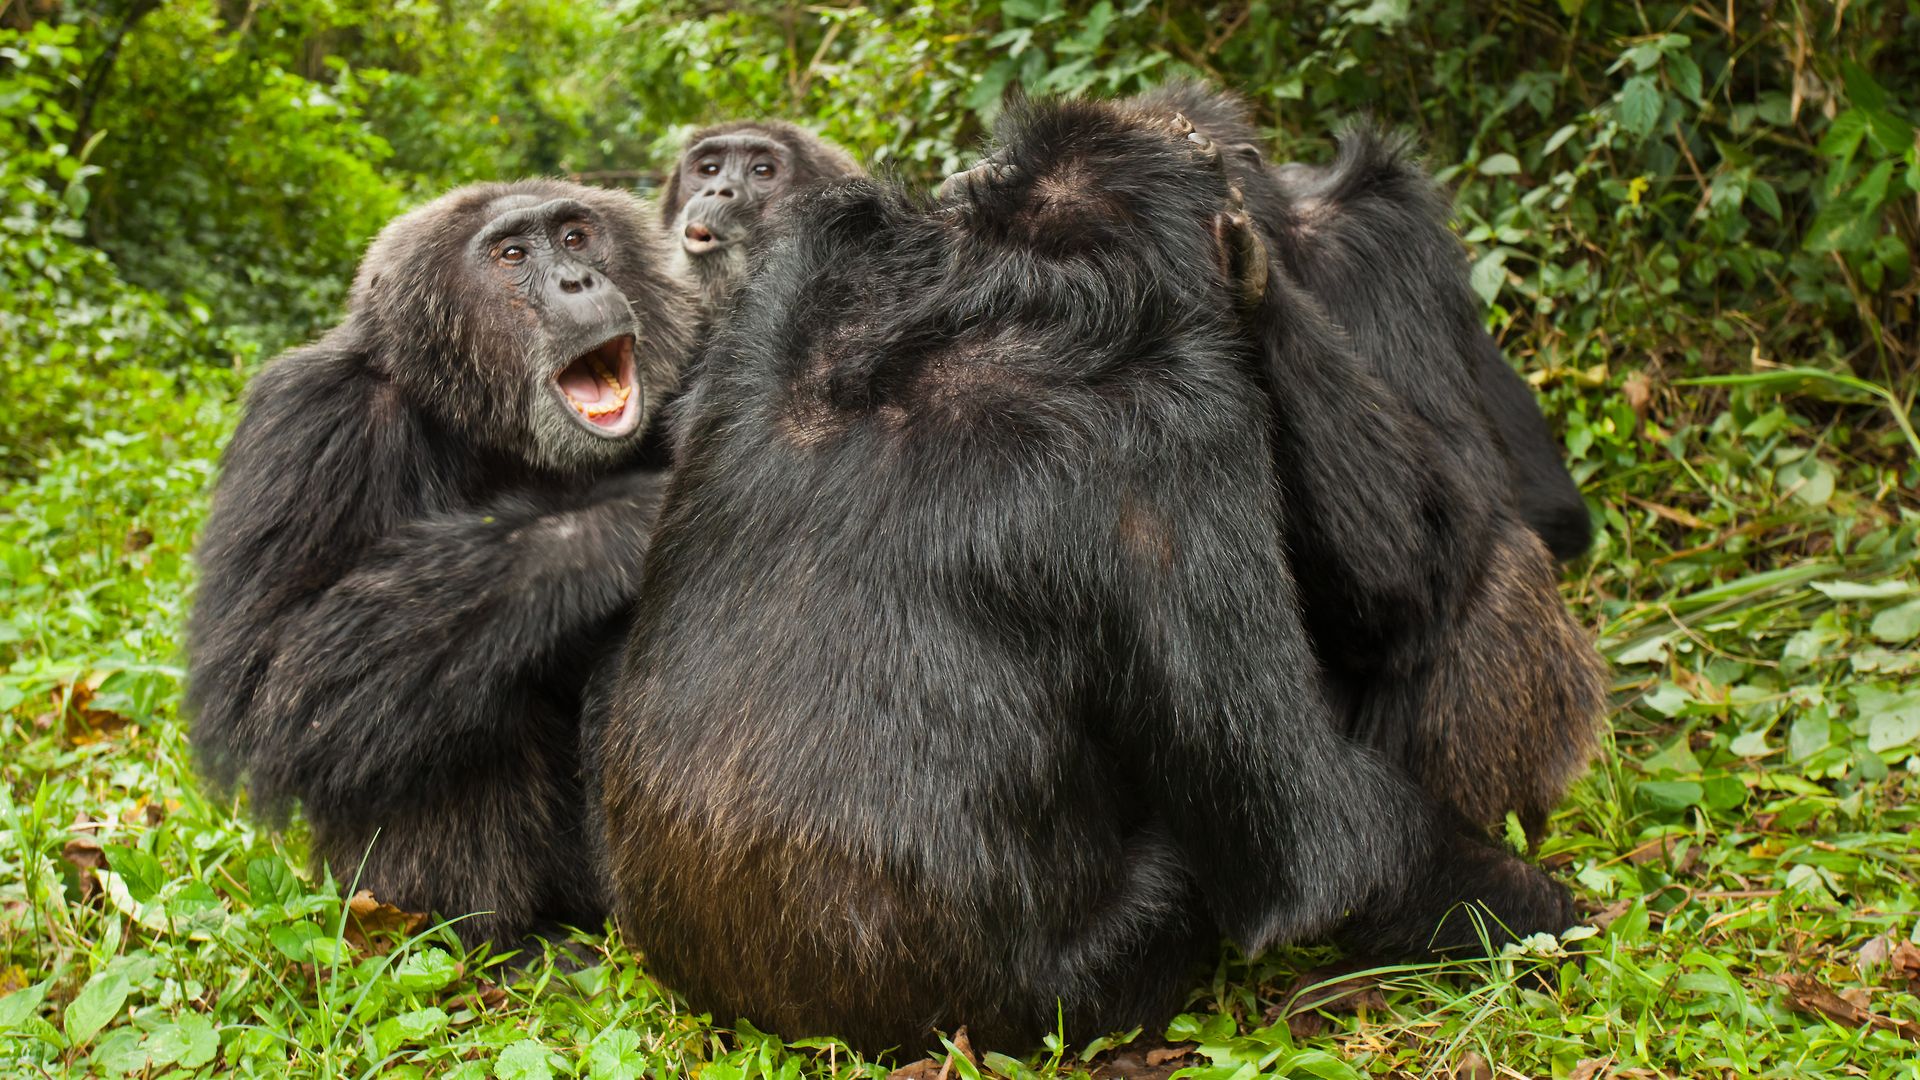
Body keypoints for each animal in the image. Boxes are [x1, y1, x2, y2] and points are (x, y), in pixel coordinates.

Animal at [185, 180, 691, 945]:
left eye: (575, 237)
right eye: (512, 255)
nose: (577, 280)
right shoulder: (307, 426)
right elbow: (265, 675)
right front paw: (625, 521)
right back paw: (495, 942)